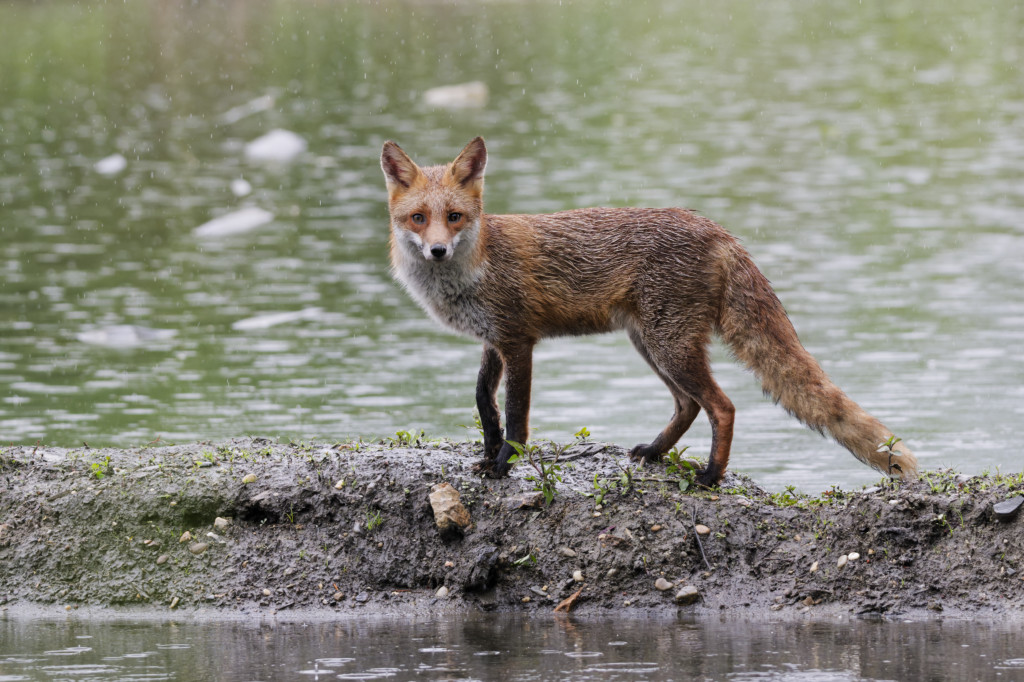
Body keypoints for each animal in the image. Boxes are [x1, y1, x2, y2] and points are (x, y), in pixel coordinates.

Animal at [379, 136, 917, 487]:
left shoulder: (518, 340)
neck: (475, 270)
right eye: (418, 218)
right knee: (689, 405)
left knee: (721, 405)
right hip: (651, 343)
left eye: (454, 217)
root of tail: (718, 230)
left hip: (667, 344)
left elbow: (514, 416)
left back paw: (710, 476)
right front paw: (487, 456)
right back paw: (657, 453)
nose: (437, 252)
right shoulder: (494, 340)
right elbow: (482, 403)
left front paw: (503, 465)